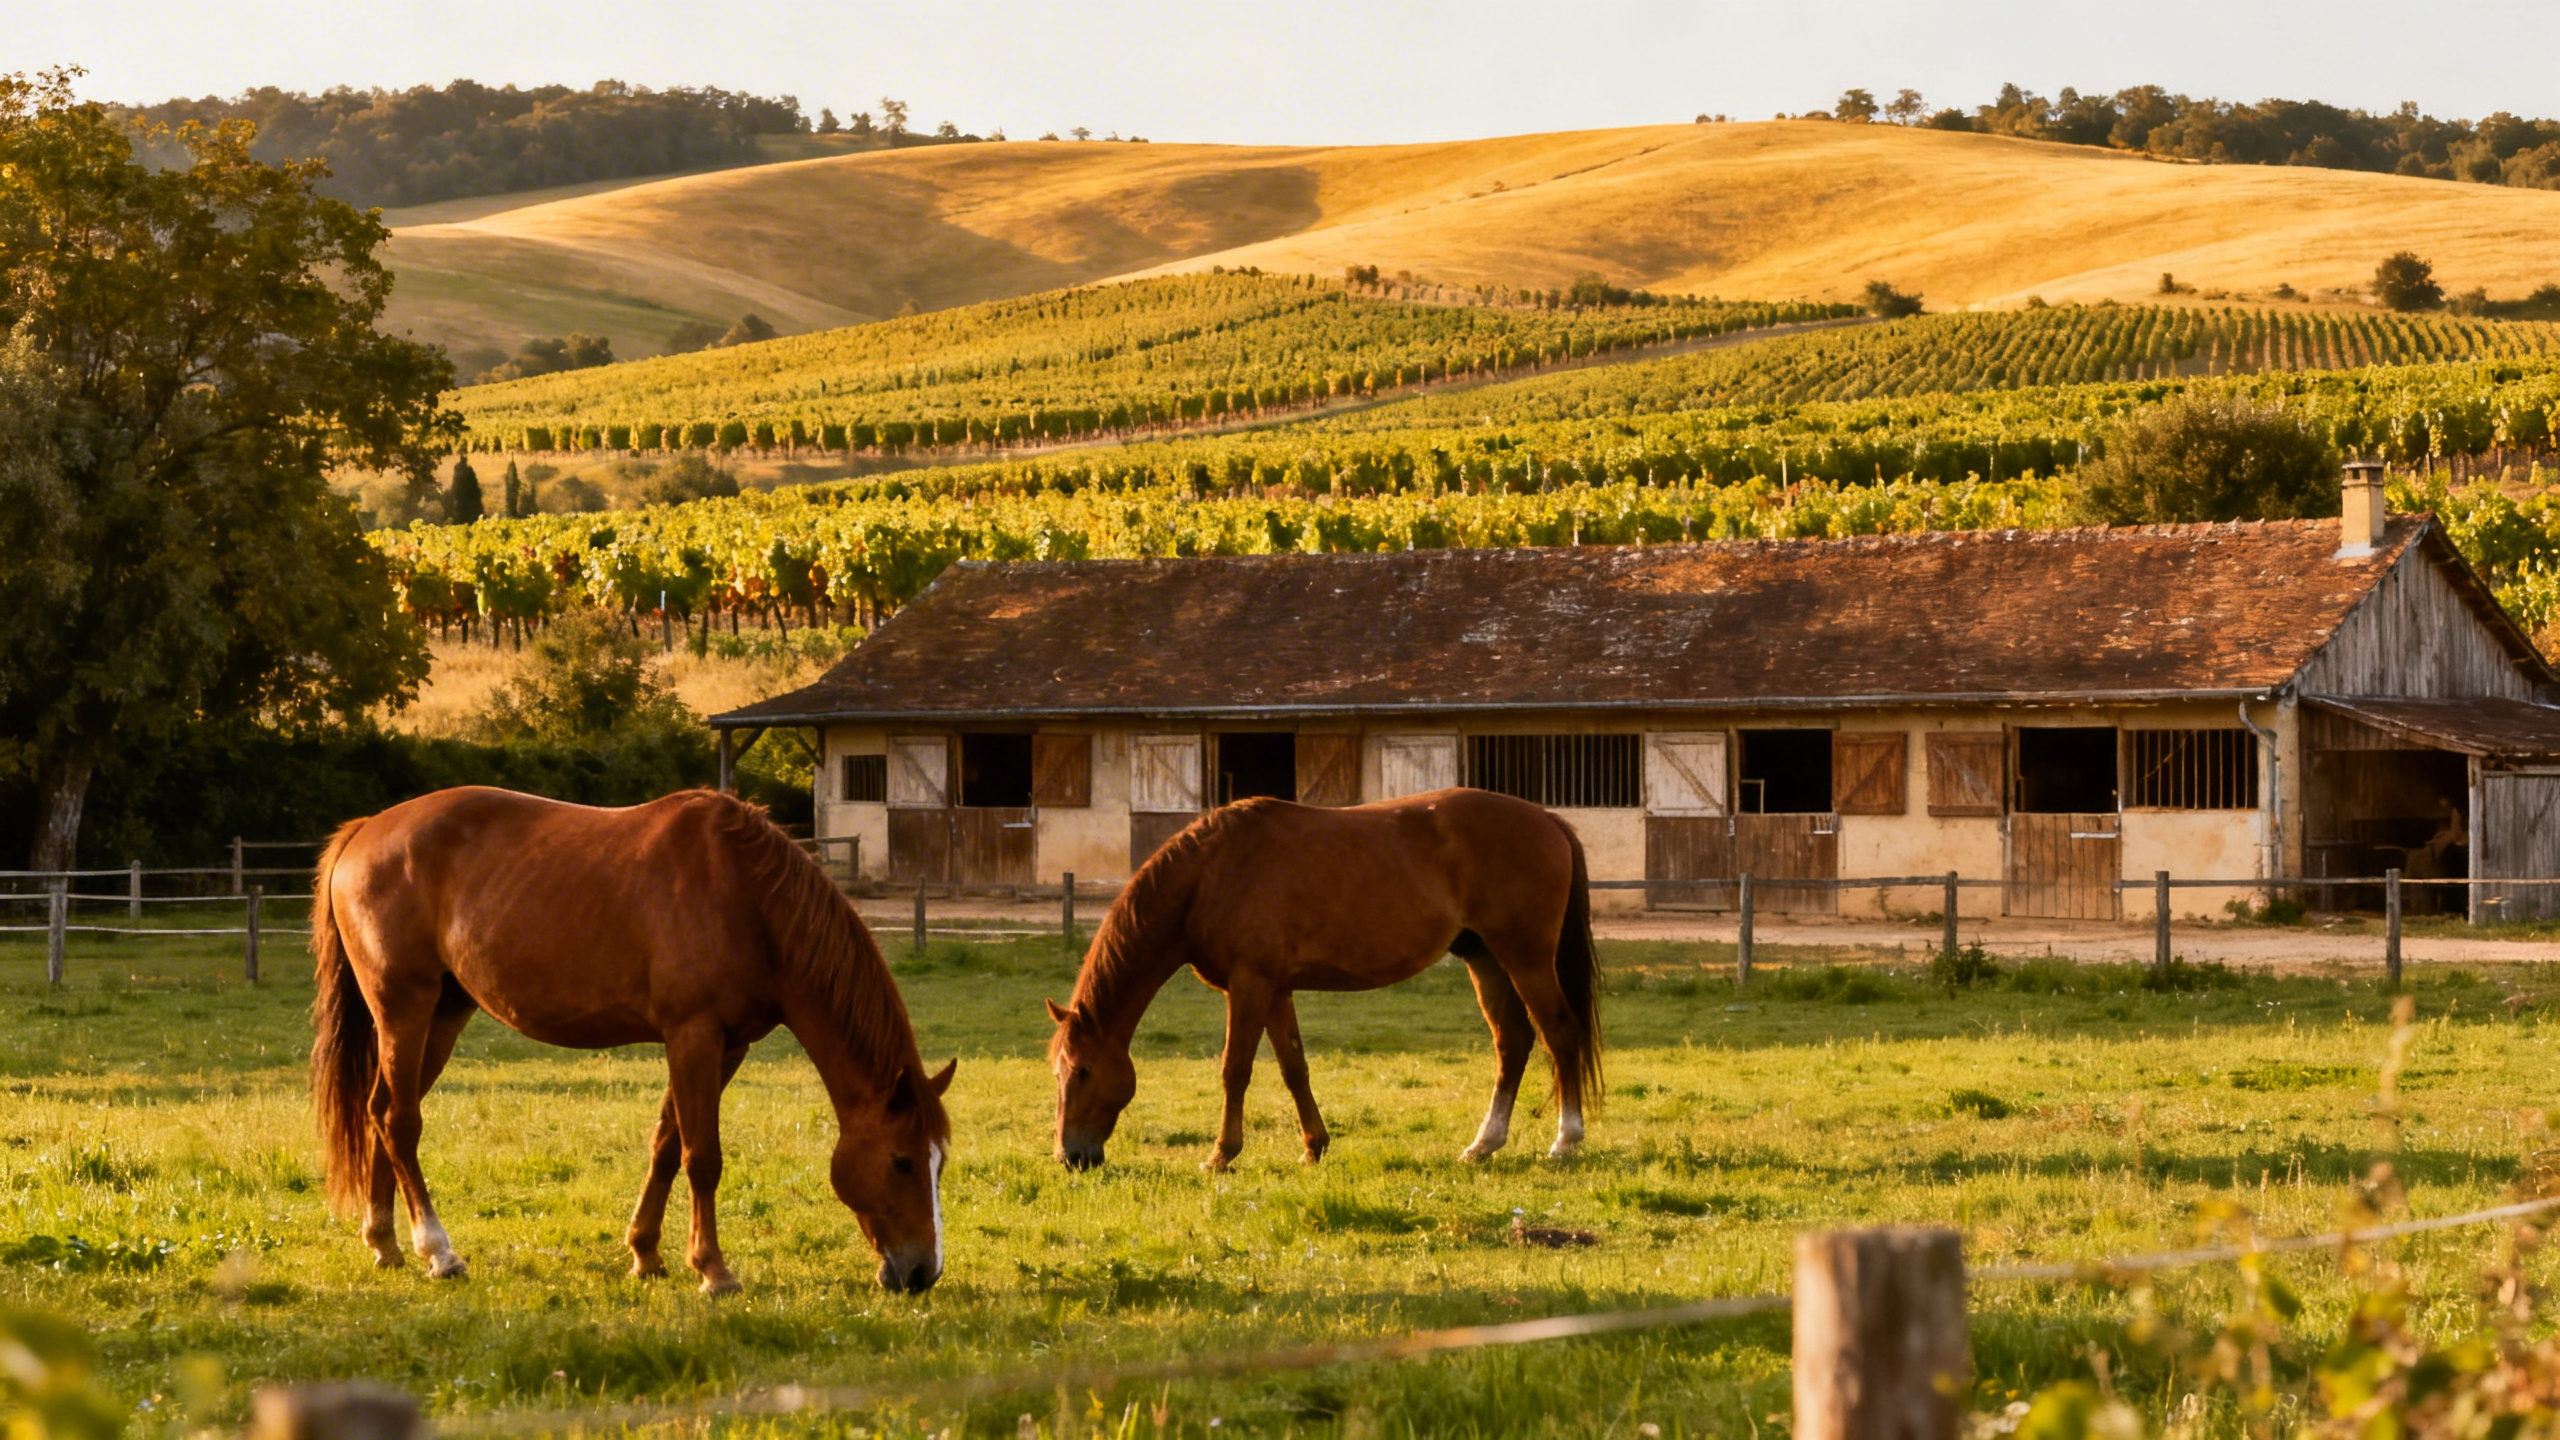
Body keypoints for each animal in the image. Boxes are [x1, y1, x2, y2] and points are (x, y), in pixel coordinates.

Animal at [309, 786, 954, 1295]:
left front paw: (646, 1254)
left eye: (938, 1163)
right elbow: (702, 1157)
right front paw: (713, 1270)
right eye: (900, 1161)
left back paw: (385, 1242)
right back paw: (438, 1252)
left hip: (444, 1014)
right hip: (405, 1010)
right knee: (400, 1121)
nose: (923, 1272)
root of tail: (365, 831)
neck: (748, 899)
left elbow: (667, 1144)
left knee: (379, 1110)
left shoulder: (727, 1046)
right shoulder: (693, 1034)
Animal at [1046, 788, 1599, 1171]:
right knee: (1513, 1042)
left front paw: (1221, 1155)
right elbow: (1295, 1069)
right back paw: (1484, 1144)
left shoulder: (1249, 986)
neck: (1210, 874)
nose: (1070, 1156)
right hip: (1485, 958)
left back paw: (1566, 1141)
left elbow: (1235, 1070)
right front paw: (1314, 1146)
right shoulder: (1274, 990)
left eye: (1082, 1071)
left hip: (1526, 957)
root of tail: (1547, 819)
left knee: (1559, 1033)